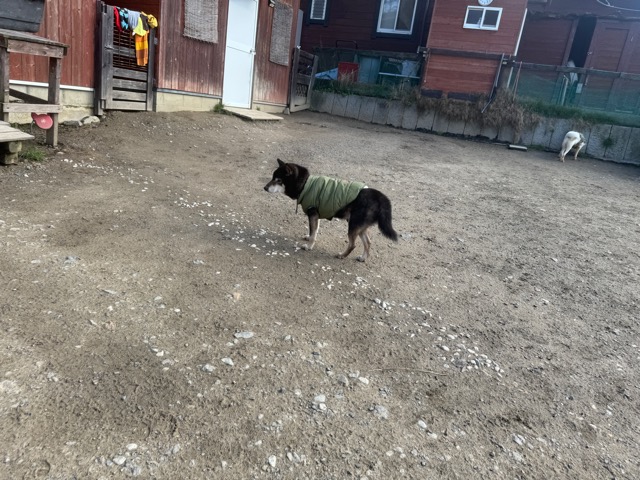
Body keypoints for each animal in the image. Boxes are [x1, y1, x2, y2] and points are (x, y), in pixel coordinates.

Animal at [264, 159, 398, 262]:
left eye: (278, 180)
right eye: (272, 177)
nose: (264, 188)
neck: (305, 184)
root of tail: (379, 197)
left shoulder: (312, 214)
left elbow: (313, 233)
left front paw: (309, 246)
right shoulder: (316, 215)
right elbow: (314, 231)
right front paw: (309, 237)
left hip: (353, 225)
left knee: (353, 244)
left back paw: (342, 255)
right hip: (360, 226)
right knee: (368, 242)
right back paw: (363, 257)